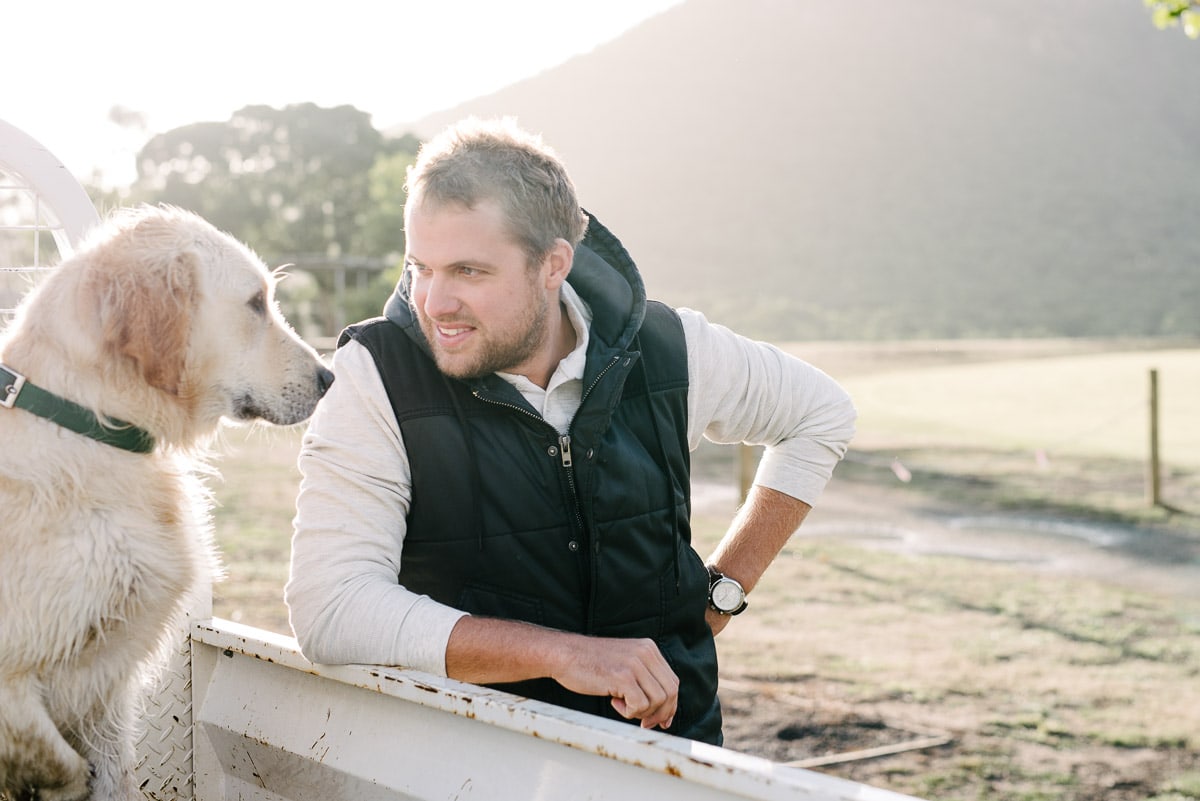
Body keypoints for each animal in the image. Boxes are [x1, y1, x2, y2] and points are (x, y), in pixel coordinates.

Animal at [0, 208, 333, 801]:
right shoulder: (16, 688)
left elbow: (110, 772)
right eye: (255, 303)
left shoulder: (108, 685)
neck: (85, 421)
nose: (329, 376)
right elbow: (60, 762)